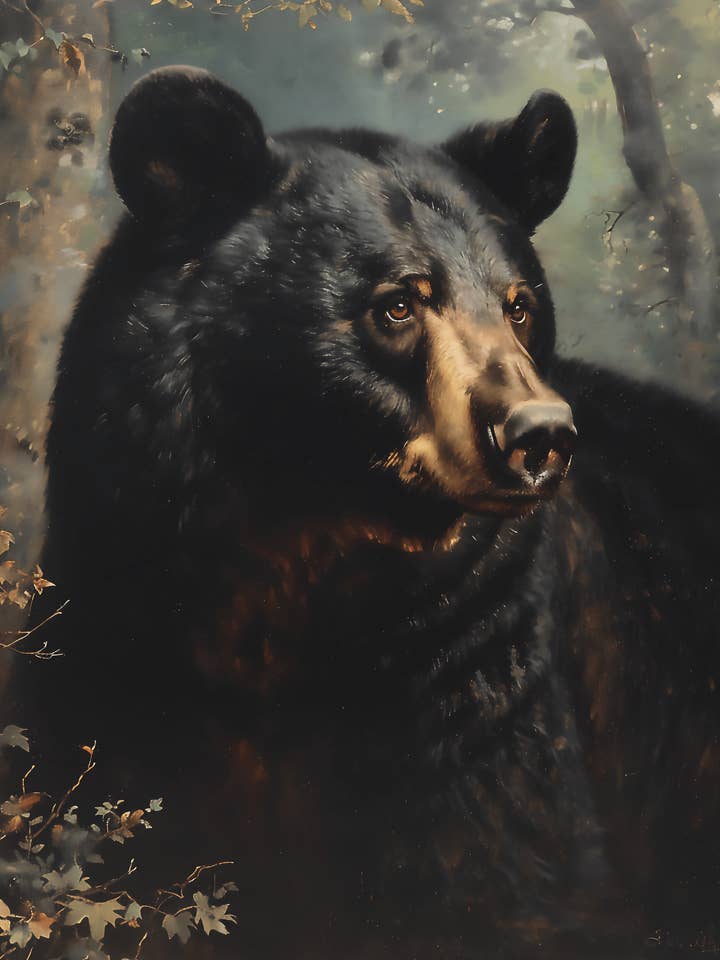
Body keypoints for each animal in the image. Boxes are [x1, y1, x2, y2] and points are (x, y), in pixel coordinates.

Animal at [10, 66, 720, 959]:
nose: (541, 434)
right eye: (399, 305)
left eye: (520, 305)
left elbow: (512, 854)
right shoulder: (111, 643)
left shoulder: (479, 671)